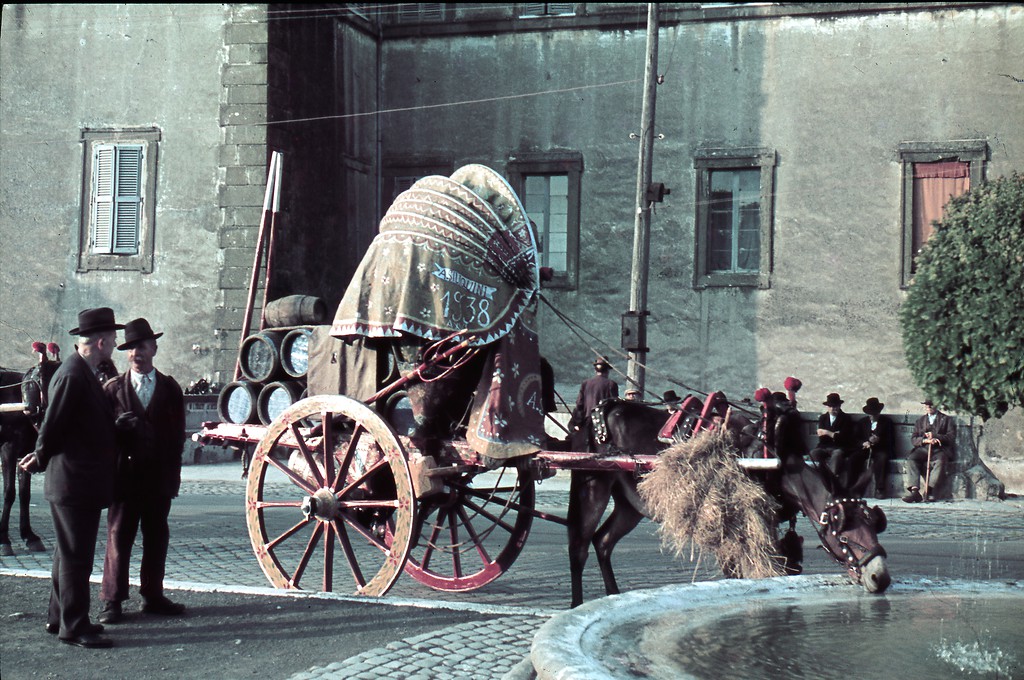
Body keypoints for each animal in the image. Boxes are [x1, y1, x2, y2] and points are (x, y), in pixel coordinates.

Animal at [565, 391, 892, 606]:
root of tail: (606, 408)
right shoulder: (729, 526)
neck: (772, 459)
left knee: (603, 542)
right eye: (844, 532)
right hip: (592, 485)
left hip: (630, 504)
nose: (881, 577)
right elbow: (734, 575)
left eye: (875, 524)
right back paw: (576, 605)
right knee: (579, 546)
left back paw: (612, 596)